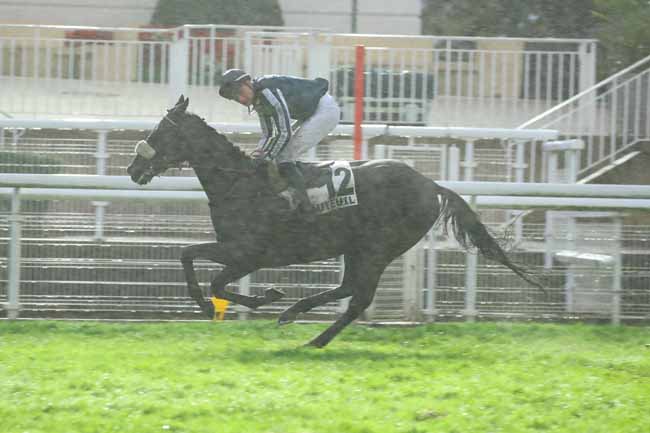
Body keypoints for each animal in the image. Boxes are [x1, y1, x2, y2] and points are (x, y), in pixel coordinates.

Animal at [126, 96, 540, 346]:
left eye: (160, 132)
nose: (132, 169)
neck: (242, 184)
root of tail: (431, 183)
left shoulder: (249, 253)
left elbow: (208, 274)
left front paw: (251, 299)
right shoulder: (237, 250)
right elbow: (188, 255)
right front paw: (242, 301)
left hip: (379, 248)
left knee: (359, 296)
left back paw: (312, 335)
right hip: (358, 247)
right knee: (349, 289)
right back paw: (297, 316)